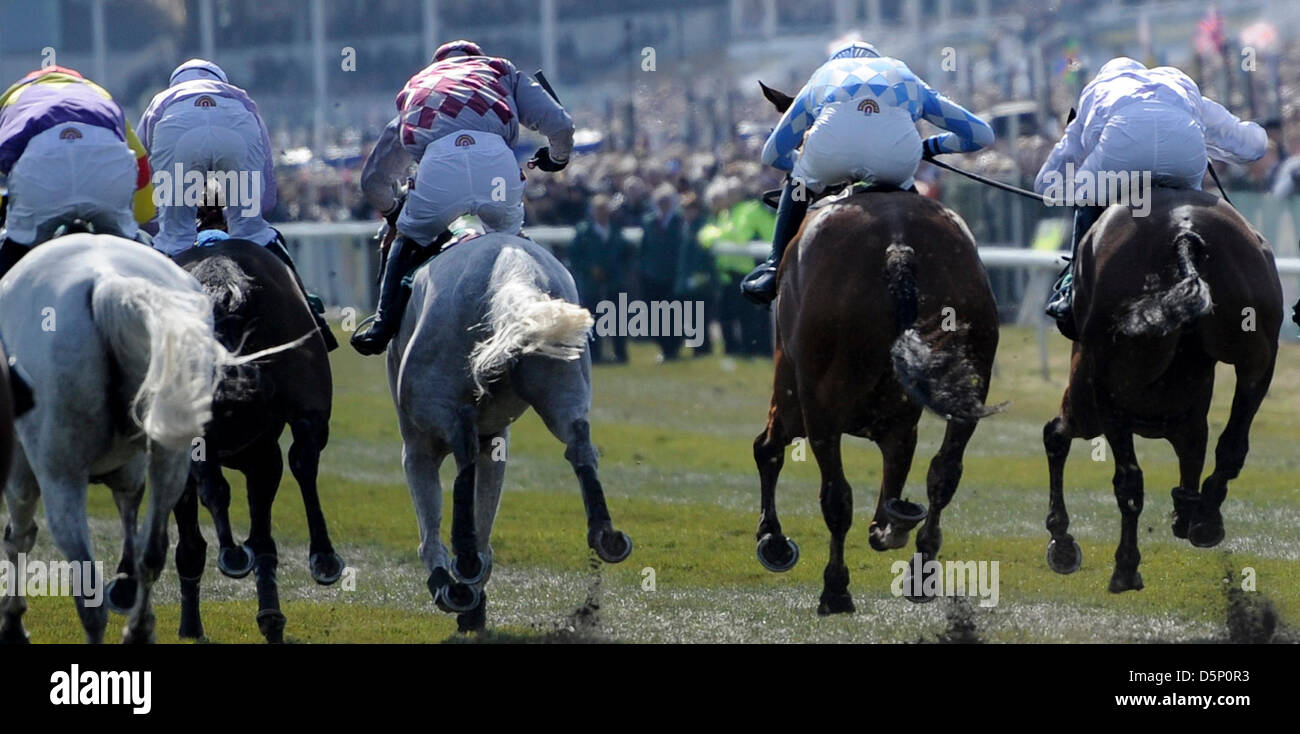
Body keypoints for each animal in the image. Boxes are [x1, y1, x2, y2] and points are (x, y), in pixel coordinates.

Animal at [172, 239, 345, 641]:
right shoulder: (261, 452)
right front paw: (268, 613)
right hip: (306, 392)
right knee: (304, 457)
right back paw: (320, 559)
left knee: (222, 484)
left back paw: (239, 556)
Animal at [390, 233, 634, 628]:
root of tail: (510, 268)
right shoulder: (495, 439)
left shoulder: (418, 444)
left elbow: (432, 524)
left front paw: (453, 587)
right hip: (562, 384)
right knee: (579, 444)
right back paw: (604, 534)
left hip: (433, 408)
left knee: (463, 453)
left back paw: (463, 563)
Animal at [1040, 187, 1284, 589]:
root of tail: (1185, 233)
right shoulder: (1187, 420)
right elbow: (1195, 459)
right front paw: (1188, 512)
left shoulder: (1092, 399)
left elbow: (1059, 437)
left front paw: (1062, 542)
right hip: (1258, 353)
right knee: (1232, 444)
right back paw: (1206, 519)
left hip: (1098, 388)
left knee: (1120, 475)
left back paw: (1123, 566)